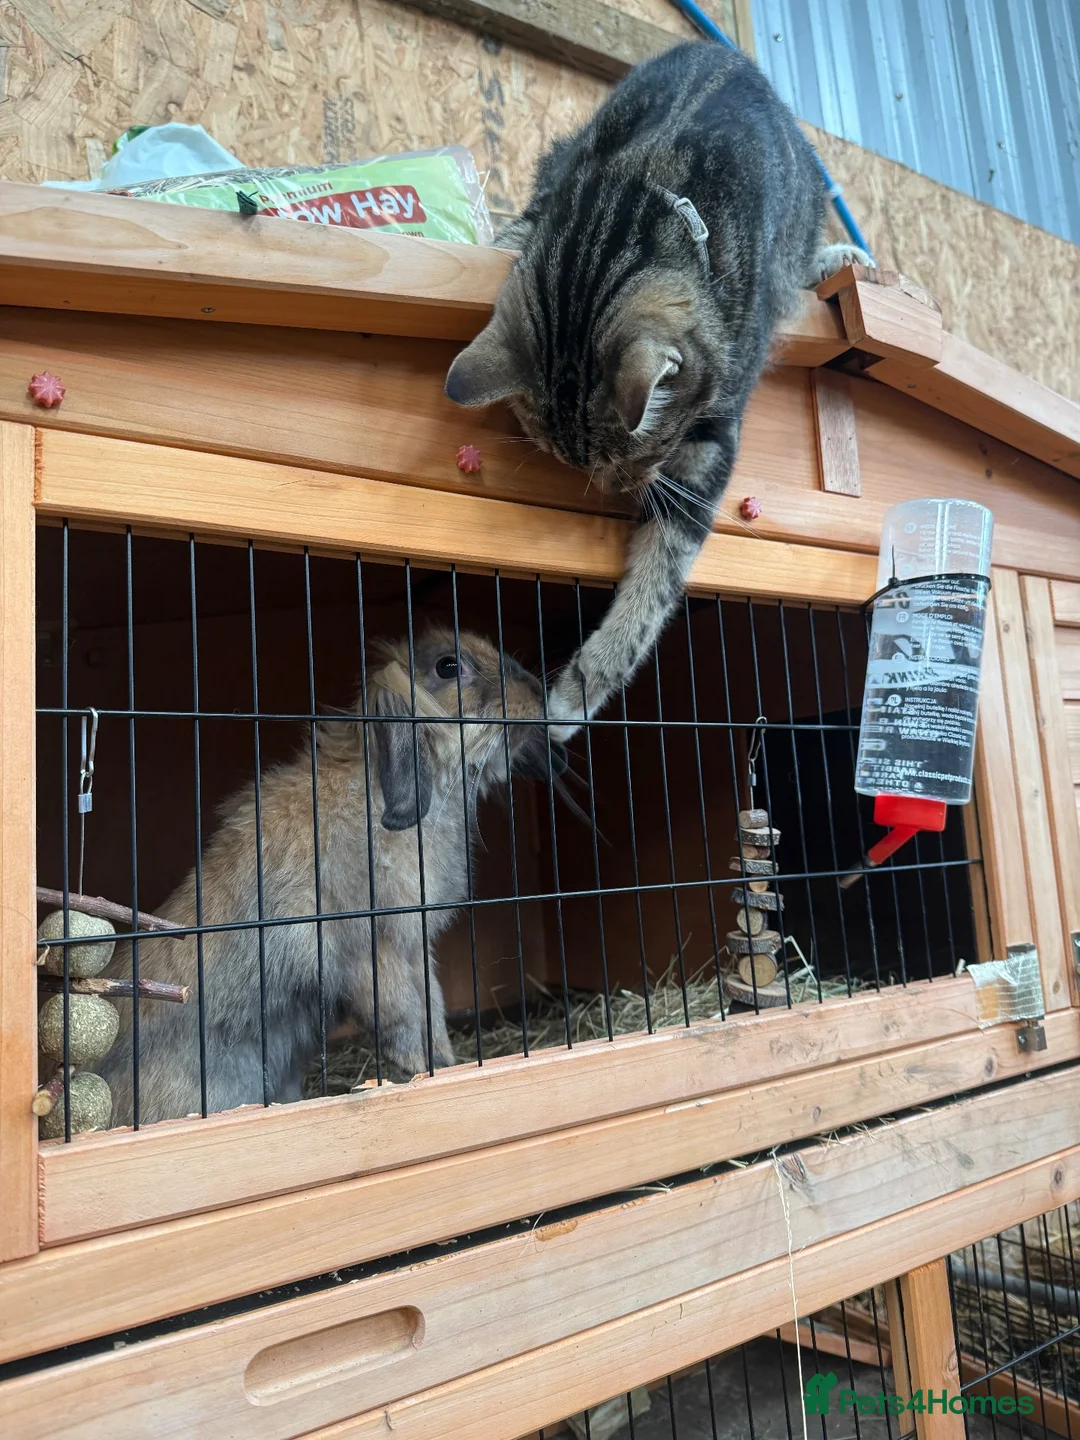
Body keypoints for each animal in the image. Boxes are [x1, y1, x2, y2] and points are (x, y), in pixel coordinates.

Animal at [98, 627, 567, 1127]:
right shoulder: (369, 950)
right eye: (448, 666)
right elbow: (402, 1013)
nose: (536, 693)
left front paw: (444, 1063)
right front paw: (420, 1071)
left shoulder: (414, 948)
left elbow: (433, 1006)